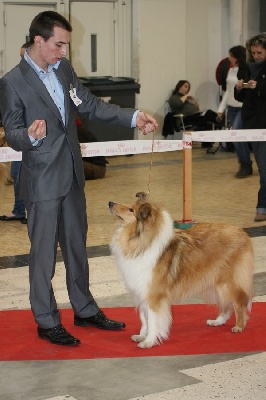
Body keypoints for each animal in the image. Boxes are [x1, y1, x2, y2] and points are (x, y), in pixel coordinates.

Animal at [108, 192, 254, 348]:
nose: (110, 203)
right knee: (225, 304)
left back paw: (239, 326)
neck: (142, 243)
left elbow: (152, 320)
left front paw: (149, 341)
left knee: (239, 301)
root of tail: (242, 232)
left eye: (131, 210)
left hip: (228, 282)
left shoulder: (154, 295)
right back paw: (217, 321)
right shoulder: (141, 292)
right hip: (217, 282)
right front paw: (142, 336)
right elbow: (144, 318)